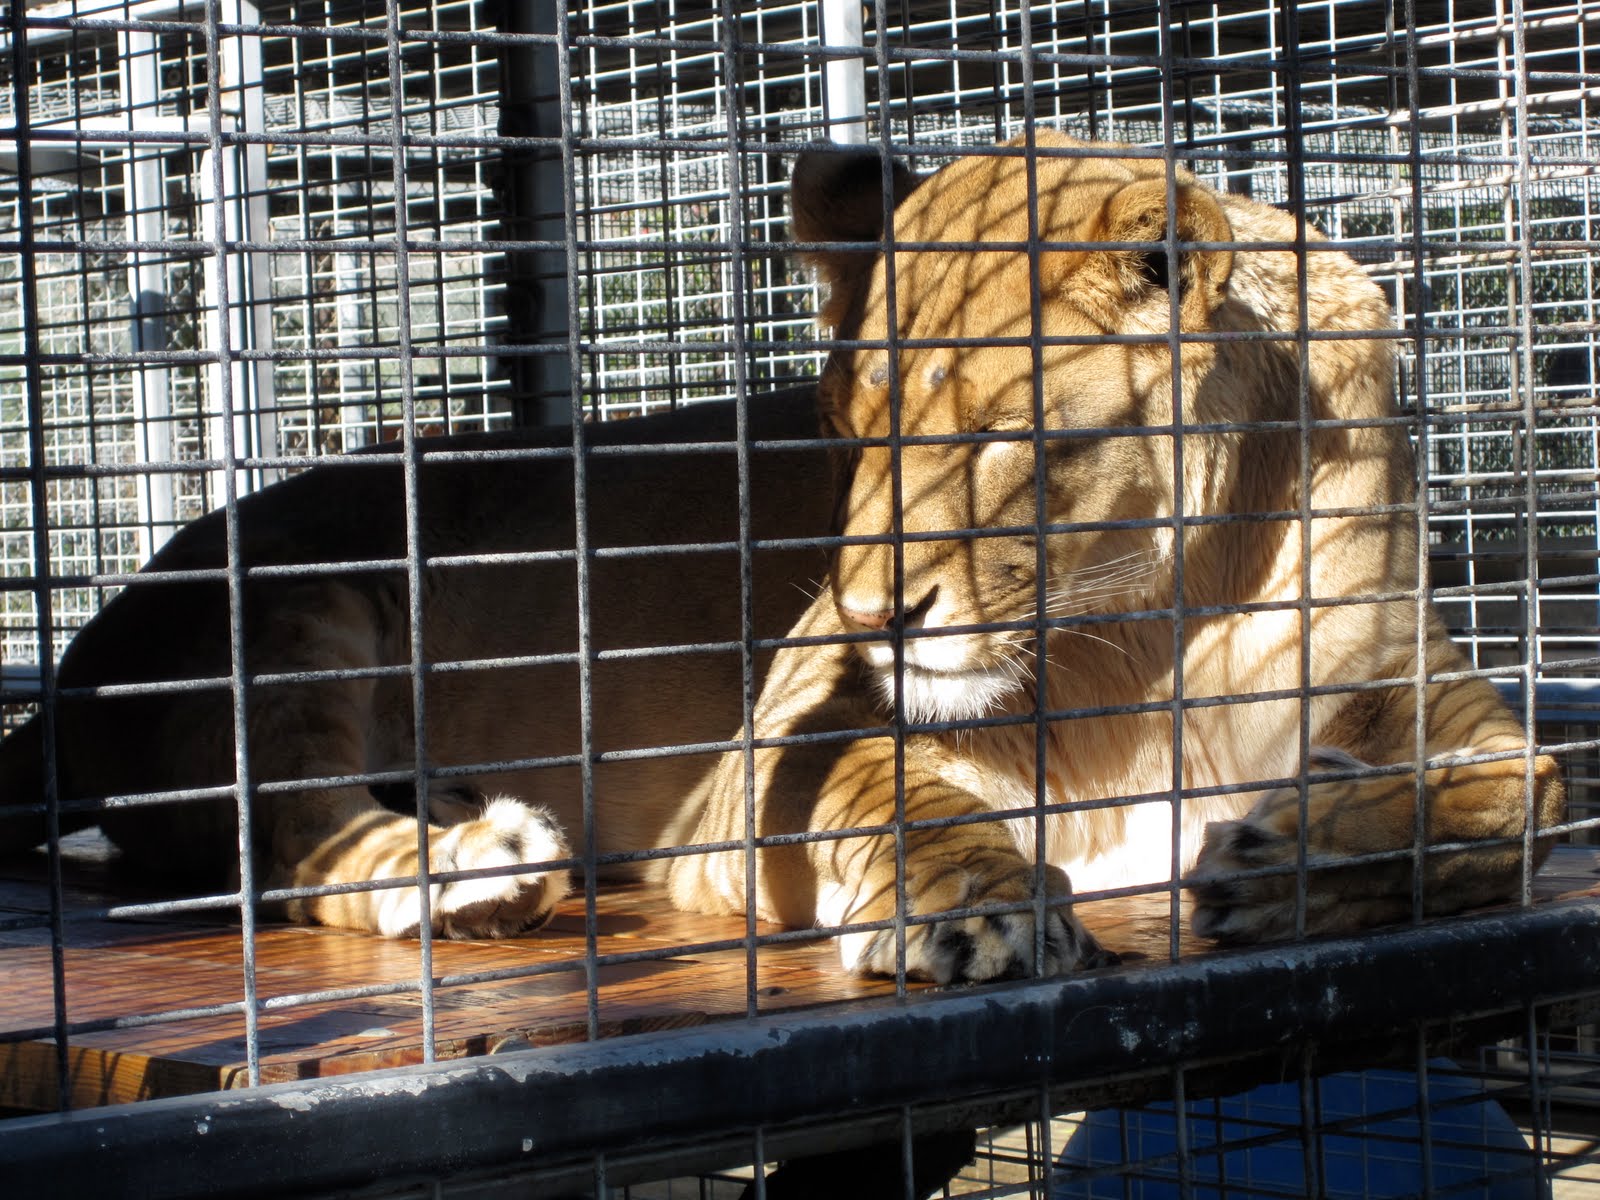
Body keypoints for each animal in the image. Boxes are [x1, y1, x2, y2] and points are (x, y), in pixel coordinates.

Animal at [0, 135, 1562, 982]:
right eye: (845, 429)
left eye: (999, 437)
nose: (873, 616)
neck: (1176, 611)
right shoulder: (768, 763)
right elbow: (900, 800)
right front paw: (980, 913)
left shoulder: (1432, 692)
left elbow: (1530, 788)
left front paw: (1306, 859)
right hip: (293, 607)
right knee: (281, 839)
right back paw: (474, 858)